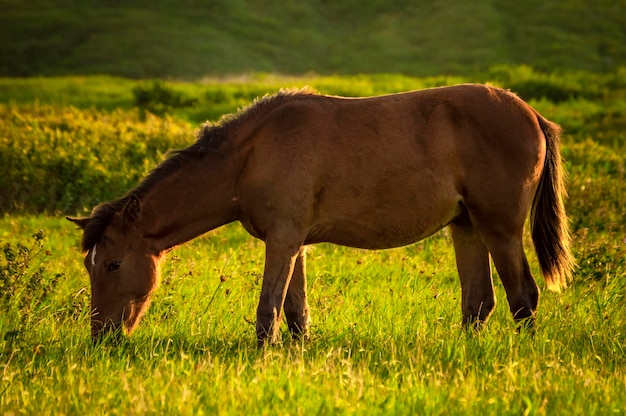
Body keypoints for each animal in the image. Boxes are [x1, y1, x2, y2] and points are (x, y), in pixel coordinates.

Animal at [67, 83, 572, 344]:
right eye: (90, 266)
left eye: (113, 264)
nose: (101, 337)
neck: (252, 154)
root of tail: (531, 114)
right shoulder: (295, 243)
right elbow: (295, 312)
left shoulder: (283, 240)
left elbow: (268, 309)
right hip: (465, 227)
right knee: (479, 304)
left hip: (500, 229)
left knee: (523, 297)